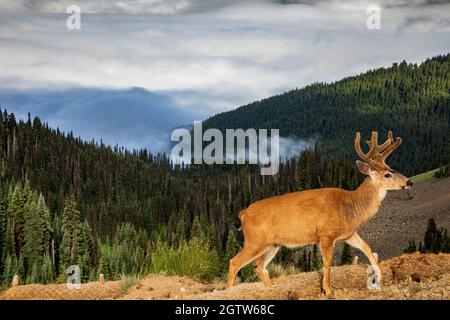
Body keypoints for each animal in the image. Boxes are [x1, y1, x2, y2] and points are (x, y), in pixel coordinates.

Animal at [227, 132, 414, 296]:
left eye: (391, 168)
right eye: (387, 174)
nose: (409, 181)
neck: (351, 207)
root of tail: (243, 214)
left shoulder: (348, 234)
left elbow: (367, 247)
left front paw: (380, 278)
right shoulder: (326, 234)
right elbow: (327, 261)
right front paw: (328, 290)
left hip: (273, 245)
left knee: (259, 266)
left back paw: (270, 290)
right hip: (255, 241)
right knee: (235, 262)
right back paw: (229, 291)